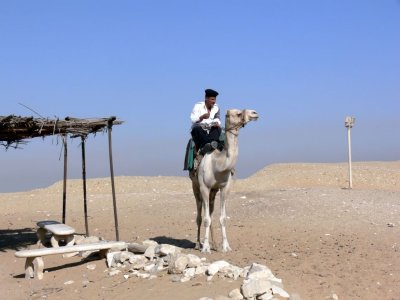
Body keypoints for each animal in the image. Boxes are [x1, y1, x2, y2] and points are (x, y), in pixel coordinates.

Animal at [190, 109, 260, 252]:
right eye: (238, 113)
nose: (255, 113)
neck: (218, 164)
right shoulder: (204, 187)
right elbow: (205, 219)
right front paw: (205, 248)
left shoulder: (224, 188)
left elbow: (222, 218)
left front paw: (226, 246)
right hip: (195, 186)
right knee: (199, 216)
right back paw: (198, 244)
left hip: (213, 191)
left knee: (210, 213)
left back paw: (215, 244)